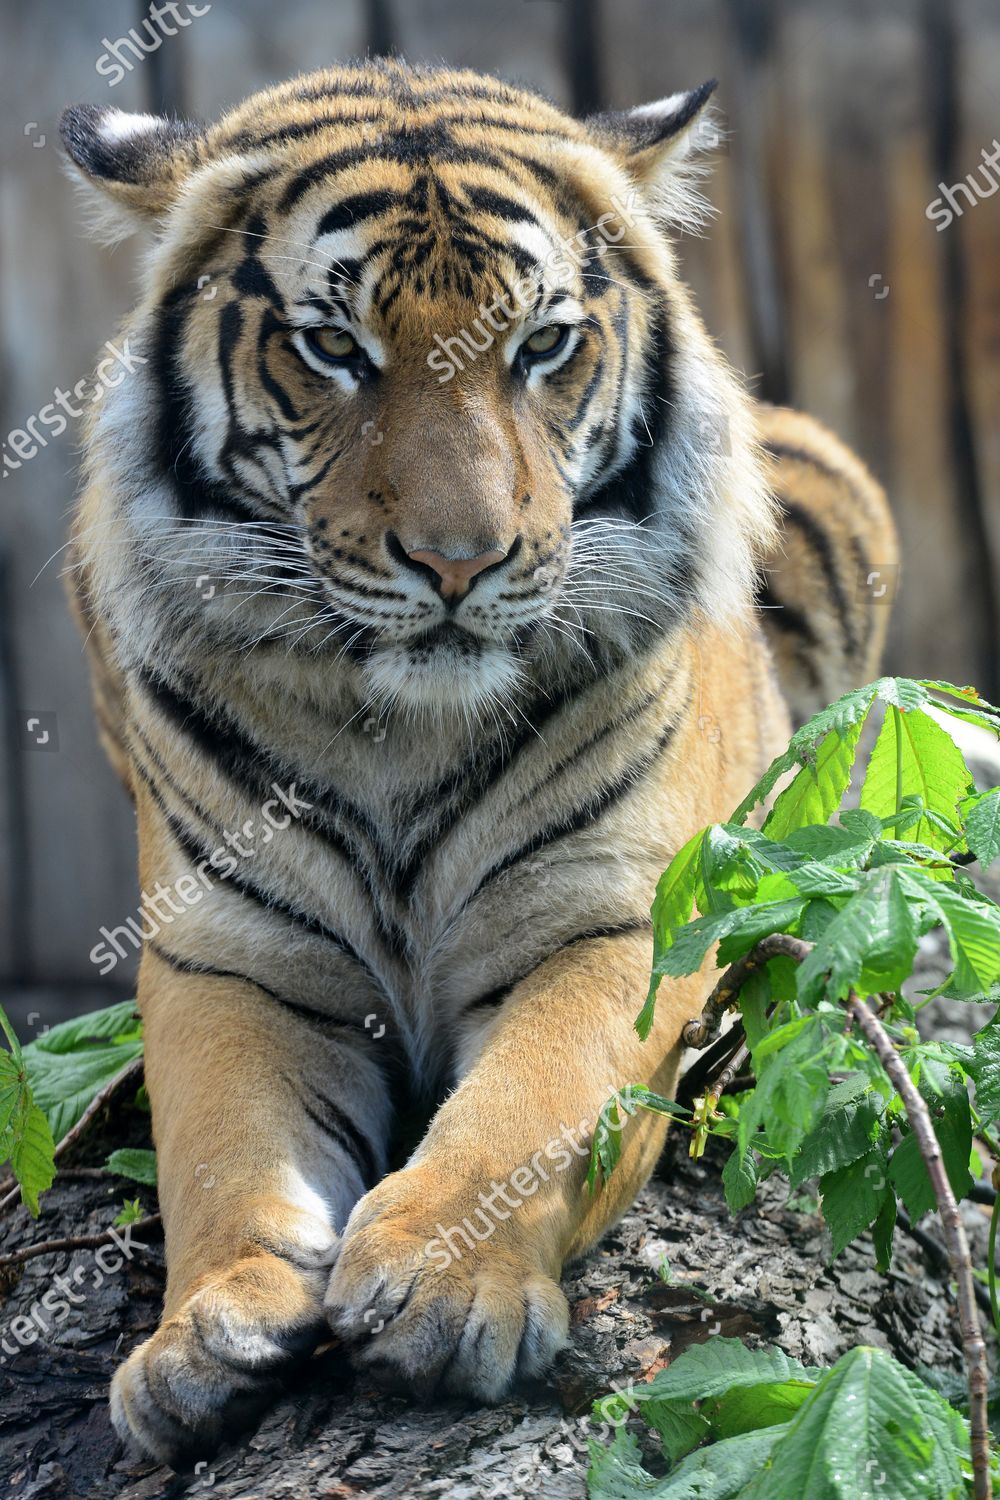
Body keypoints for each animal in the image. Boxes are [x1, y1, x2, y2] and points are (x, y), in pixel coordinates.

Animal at [58, 58, 893, 1464]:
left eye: (541, 346)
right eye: (333, 348)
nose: (461, 561)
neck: (396, 729)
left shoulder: (613, 920)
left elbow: (536, 1104)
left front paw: (442, 1284)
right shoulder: (232, 956)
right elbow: (219, 1150)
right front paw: (199, 1338)